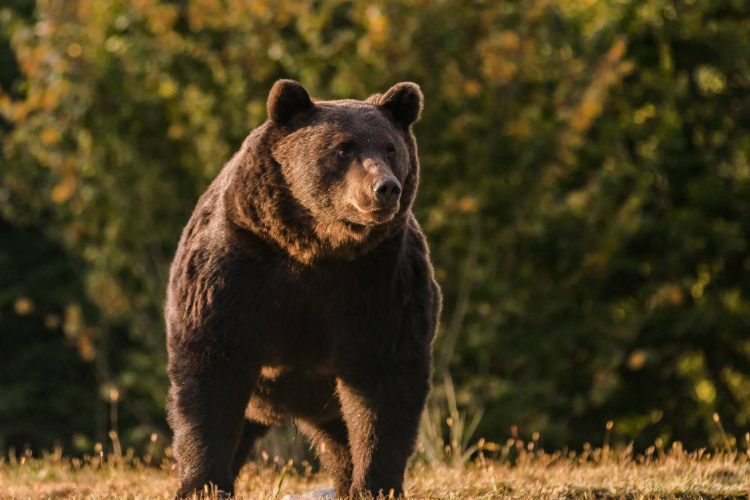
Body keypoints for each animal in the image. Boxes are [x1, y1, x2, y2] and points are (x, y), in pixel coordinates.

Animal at [165, 80, 444, 498]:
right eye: (343, 148)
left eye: (391, 148)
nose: (386, 188)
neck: (316, 247)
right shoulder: (235, 269)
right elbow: (209, 370)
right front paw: (204, 484)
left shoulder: (381, 281)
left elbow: (384, 381)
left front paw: (375, 483)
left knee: (341, 439)